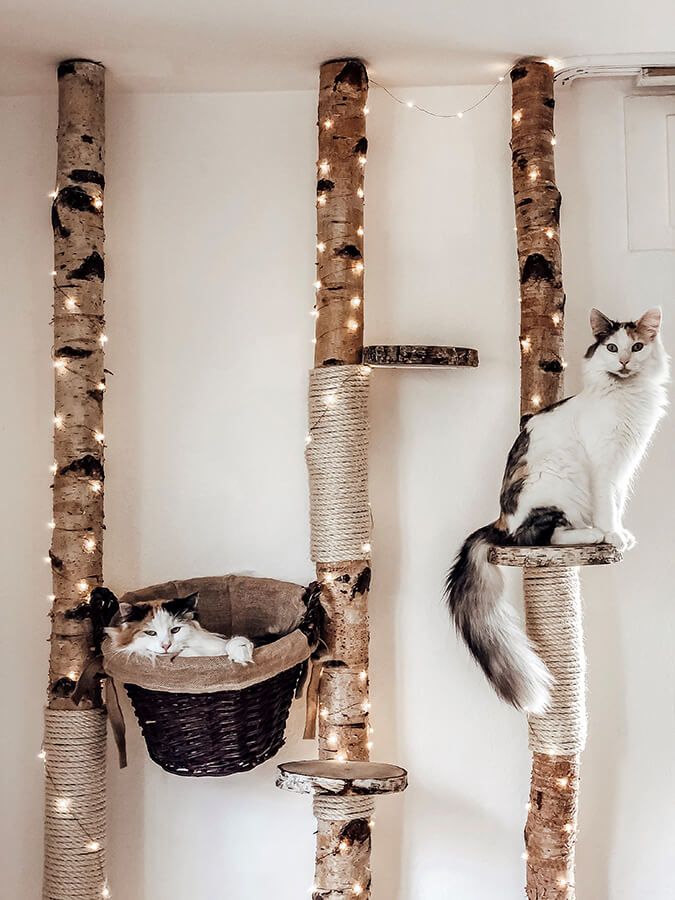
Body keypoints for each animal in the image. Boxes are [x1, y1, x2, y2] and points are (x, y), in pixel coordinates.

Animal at [446, 306, 668, 712]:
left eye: (637, 347)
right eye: (612, 347)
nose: (624, 362)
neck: (626, 398)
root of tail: (499, 522)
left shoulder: (625, 465)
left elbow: (618, 501)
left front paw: (621, 533)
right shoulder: (603, 463)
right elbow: (607, 505)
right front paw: (612, 535)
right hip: (558, 483)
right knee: (541, 536)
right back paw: (594, 535)